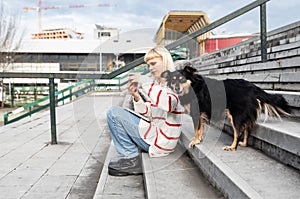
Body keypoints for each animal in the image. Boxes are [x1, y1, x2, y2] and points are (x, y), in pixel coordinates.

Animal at [162, 64, 290, 150]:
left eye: (182, 79)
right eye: (173, 81)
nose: (176, 88)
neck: (193, 87)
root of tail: (253, 87)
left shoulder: (197, 113)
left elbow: (197, 129)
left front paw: (195, 141)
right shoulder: (201, 114)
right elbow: (201, 128)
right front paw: (199, 139)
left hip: (235, 115)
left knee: (238, 132)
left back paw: (232, 147)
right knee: (247, 129)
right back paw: (243, 144)